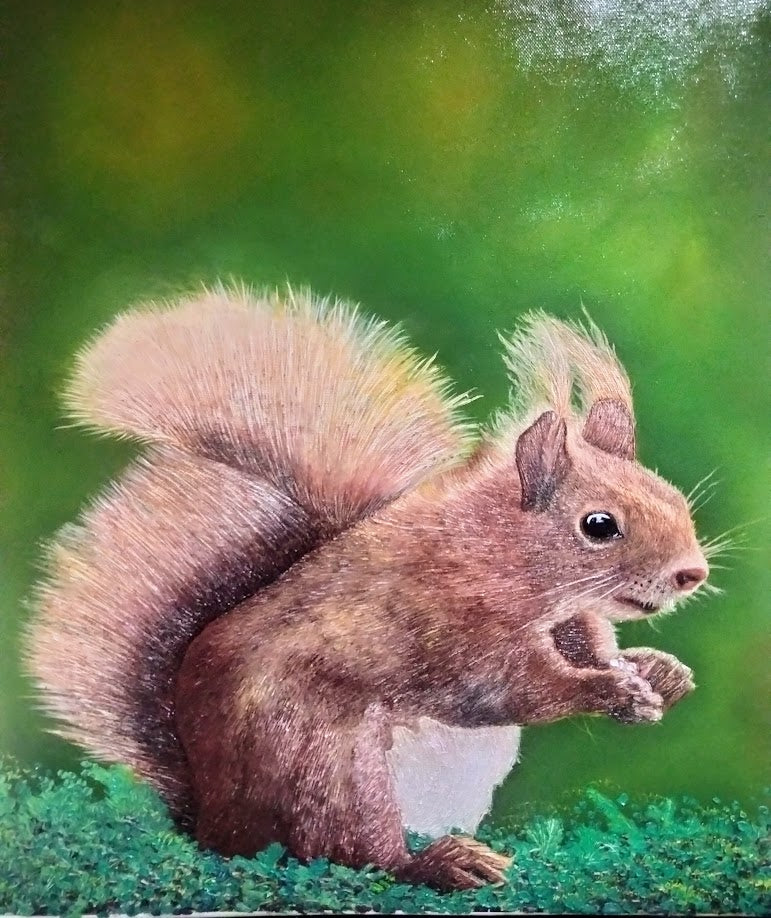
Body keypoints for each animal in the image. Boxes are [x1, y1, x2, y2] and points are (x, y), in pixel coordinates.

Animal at [26, 285, 710, 890]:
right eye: (599, 525)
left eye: (675, 498)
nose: (692, 572)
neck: (499, 554)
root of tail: (214, 821)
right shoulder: (448, 625)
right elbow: (511, 689)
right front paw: (608, 690)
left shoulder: (571, 620)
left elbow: (590, 644)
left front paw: (658, 671)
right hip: (332, 769)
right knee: (352, 853)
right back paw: (440, 865)